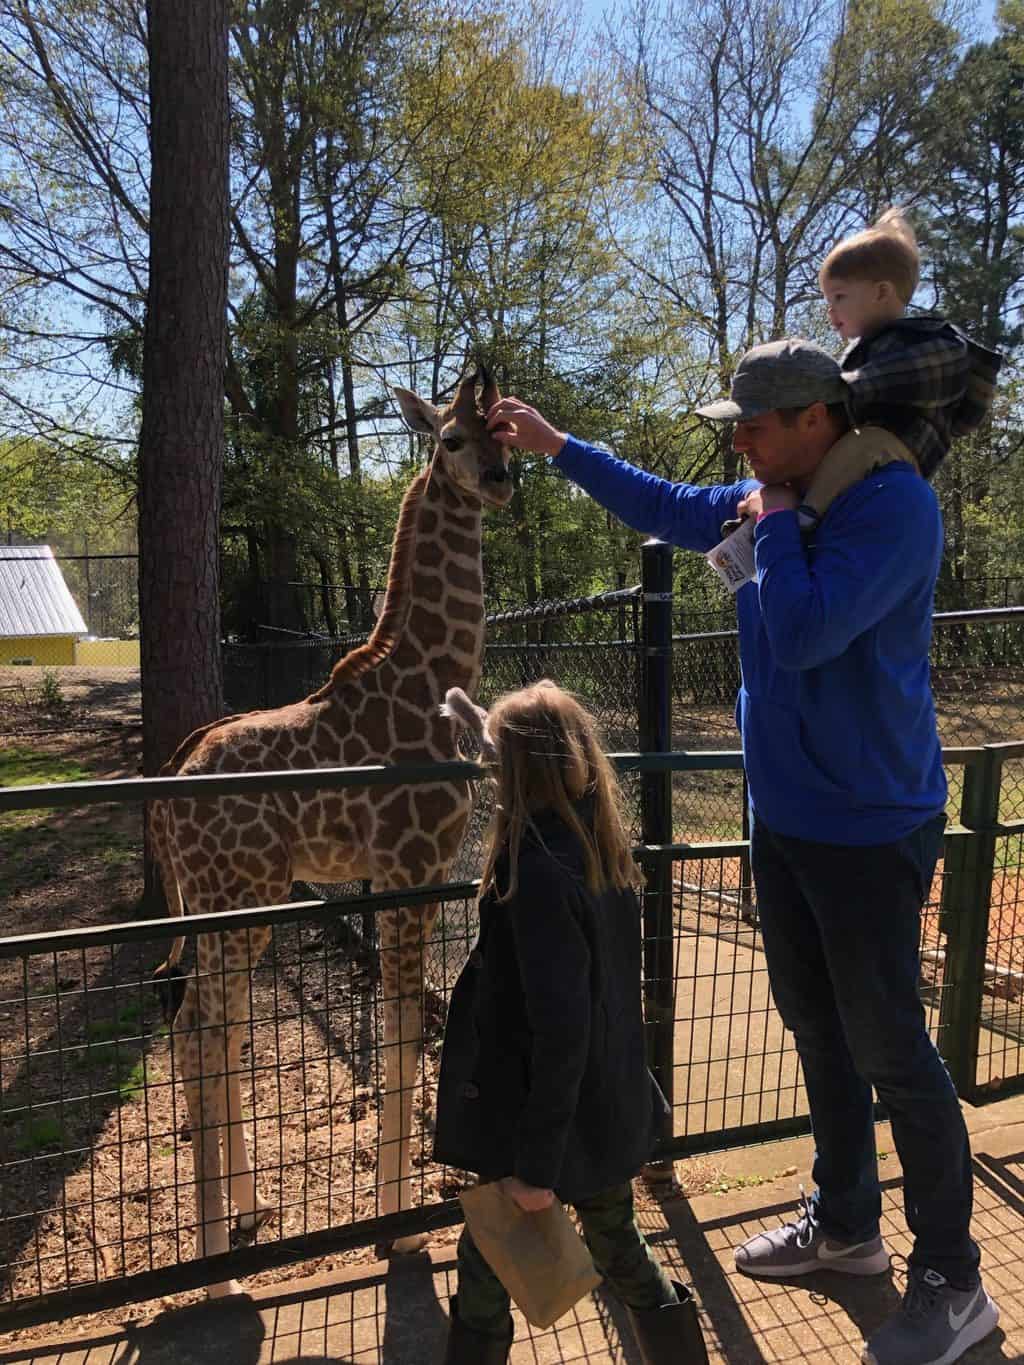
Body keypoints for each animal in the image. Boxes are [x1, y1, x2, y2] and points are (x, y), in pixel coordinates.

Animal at [151, 368, 513, 1294]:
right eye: (451, 438)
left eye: (504, 432)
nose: (500, 481)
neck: (428, 676)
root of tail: (167, 790)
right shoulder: (410, 867)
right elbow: (405, 1030)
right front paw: (401, 1230)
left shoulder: (402, 874)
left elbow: (399, 1028)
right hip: (236, 899)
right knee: (202, 1030)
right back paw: (217, 1266)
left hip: (235, 907)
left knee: (209, 1026)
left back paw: (248, 1213)